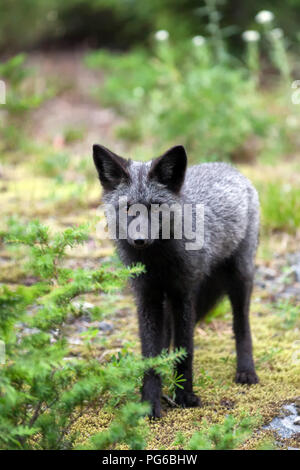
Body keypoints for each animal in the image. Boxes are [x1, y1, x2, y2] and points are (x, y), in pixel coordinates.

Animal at [92, 144, 258, 418]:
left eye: (156, 207)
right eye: (127, 208)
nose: (139, 240)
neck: (157, 262)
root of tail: (229, 167)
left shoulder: (184, 293)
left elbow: (185, 351)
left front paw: (185, 396)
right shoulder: (147, 296)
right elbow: (151, 354)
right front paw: (150, 404)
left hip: (240, 277)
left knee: (241, 325)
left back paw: (246, 370)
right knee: (166, 338)